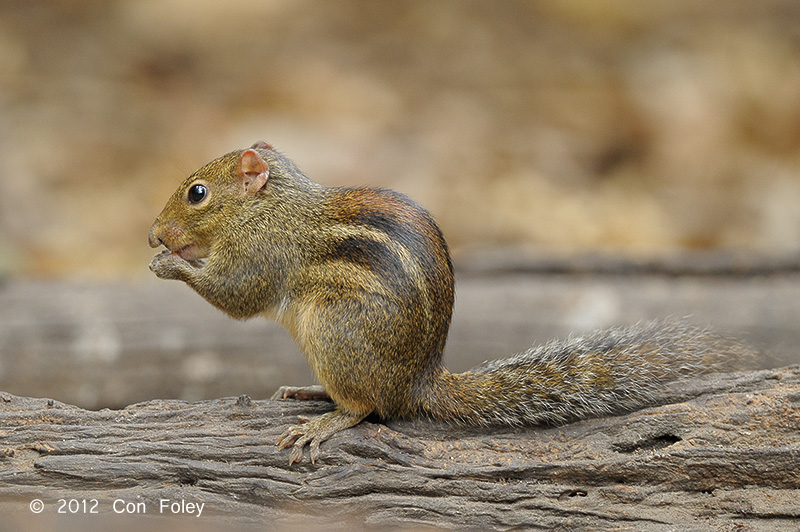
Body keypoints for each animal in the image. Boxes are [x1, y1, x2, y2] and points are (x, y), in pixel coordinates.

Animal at [148, 143, 752, 464]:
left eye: (197, 193)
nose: (152, 232)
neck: (272, 206)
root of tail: (419, 382)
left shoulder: (263, 255)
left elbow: (236, 296)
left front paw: (169, 264)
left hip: (334, 328)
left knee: (369, 407)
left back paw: (325, 421)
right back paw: (310, 390)